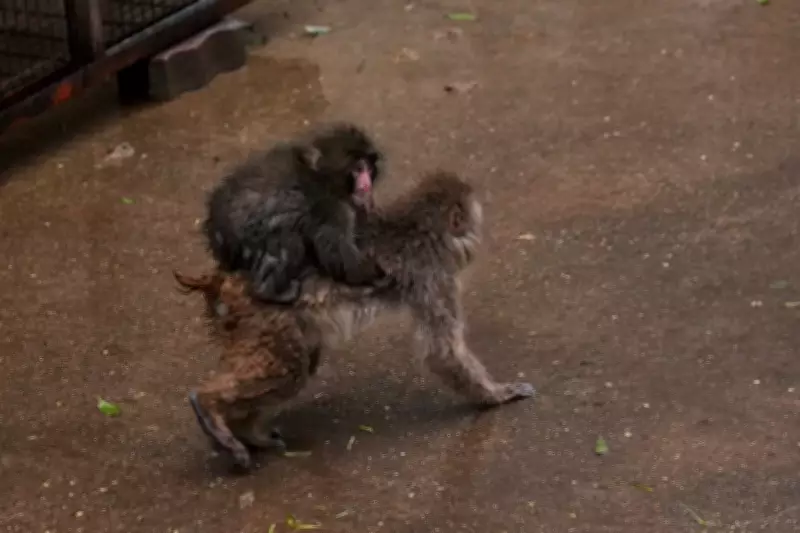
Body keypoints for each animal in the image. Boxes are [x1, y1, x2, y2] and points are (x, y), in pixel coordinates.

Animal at [177, 171, 535, 470]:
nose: (477, 233)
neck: (419, 229)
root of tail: (223, 278)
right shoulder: (433, 276)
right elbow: (442, 353)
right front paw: (496, 395)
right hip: (263, 317)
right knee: (291, 369)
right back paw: (209, 406)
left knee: (302, 363)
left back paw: (246, 430)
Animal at [202, 122, 388, 305]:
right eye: (358, 168)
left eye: (368, 168)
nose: (366, 184)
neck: (322, 176)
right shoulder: (331, 209)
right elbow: (338, 254)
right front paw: (373, 274)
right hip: (246, 238)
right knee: (288, 239)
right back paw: (269, 292)